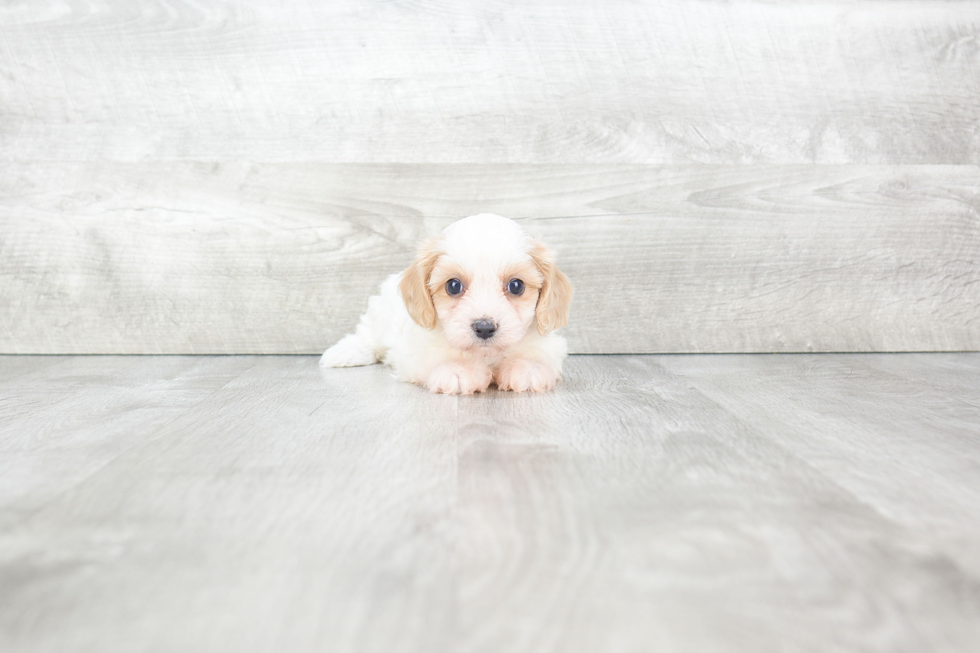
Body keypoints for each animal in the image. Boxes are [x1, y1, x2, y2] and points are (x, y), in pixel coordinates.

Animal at [318, 216, 572, 394]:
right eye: (453, 286)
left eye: (516, 286)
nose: (484, 328)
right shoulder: (414, 349)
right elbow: (439, 358)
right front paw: (457, 370)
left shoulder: (547, 344)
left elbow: (536, 354)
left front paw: (528, 368)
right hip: (380, 314)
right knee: (367, 335)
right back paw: (344, 353)